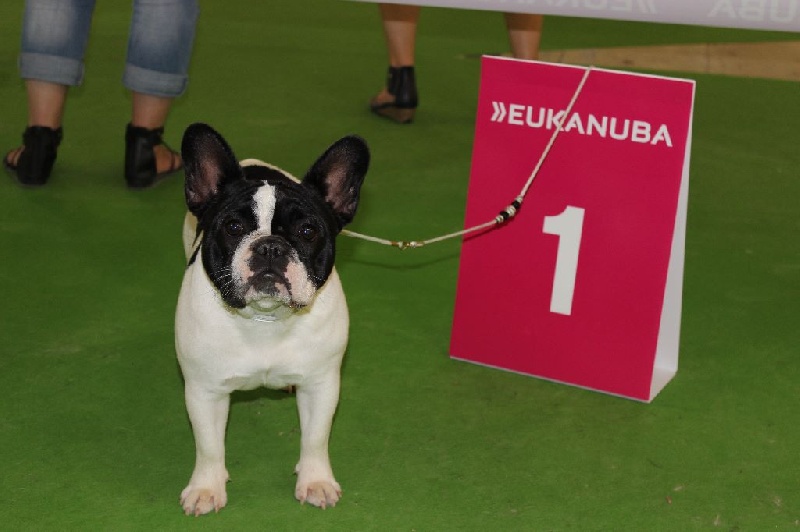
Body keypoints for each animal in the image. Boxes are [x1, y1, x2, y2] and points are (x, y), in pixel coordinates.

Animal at [175, 123, 368, 516]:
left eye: (308, 232)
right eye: (233, 227)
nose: (270, 247)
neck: (265, 319)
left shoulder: (321, 385)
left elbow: (315, 438)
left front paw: (316, 481)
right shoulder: (204, 390)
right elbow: (208, 445)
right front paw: (206, 488)